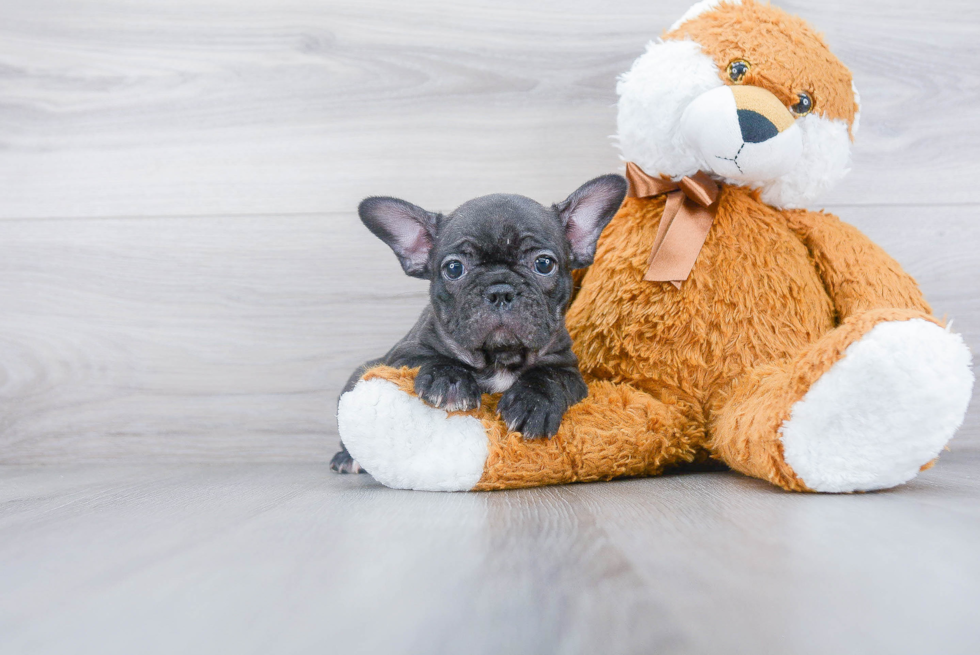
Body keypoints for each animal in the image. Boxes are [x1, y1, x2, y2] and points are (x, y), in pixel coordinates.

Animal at [334, 174, 628, 472]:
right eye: (454, 269)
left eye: (544, 264)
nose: (500, 291)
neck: (500, 357)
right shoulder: (401, 356)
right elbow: (433, 359)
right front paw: (450, 381)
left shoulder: (569, 370)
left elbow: (548, 376)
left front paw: (533, 404)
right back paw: (348, 459)